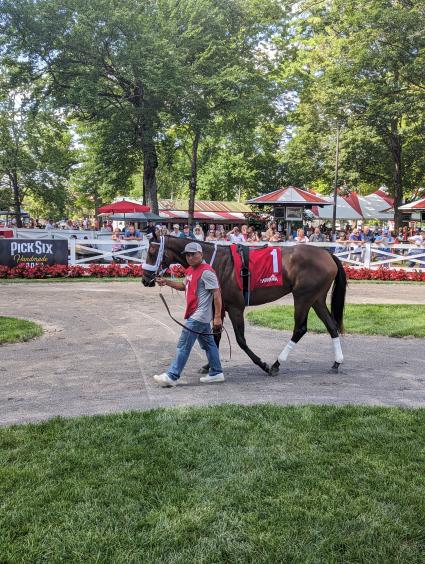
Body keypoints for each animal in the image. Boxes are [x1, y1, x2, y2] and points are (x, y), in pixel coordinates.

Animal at [141, 234, 346, 374]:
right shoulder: (219, 306)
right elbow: (215, 335)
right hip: (316, 298)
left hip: (303, 297)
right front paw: (209, 365)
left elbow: (240, 339)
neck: (215, 261)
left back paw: (276, 363)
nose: (145, 279)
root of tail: (327, 254)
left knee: (300, 329)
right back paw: (336, 363)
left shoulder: (235, 307)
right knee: (331, 326)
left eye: (151, 252)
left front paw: (262, 364)